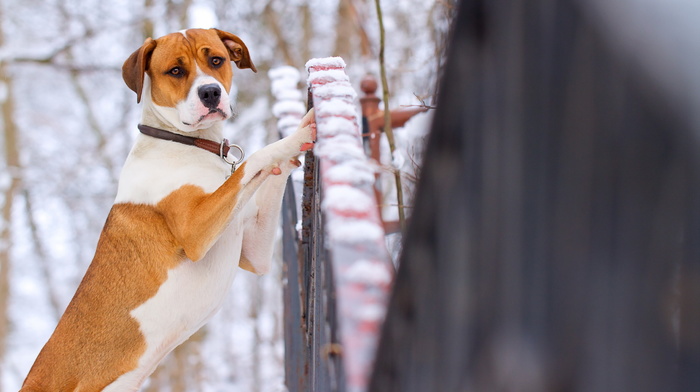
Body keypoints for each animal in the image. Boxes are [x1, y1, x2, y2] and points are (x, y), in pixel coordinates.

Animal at [19, 28, 314, 392]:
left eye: (216, 60)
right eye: (175, 70)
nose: (210, 92)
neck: (186, 142)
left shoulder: (255, 252)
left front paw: (302, 129)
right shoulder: (197, 231)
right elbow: (254, 159)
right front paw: (299, 136)